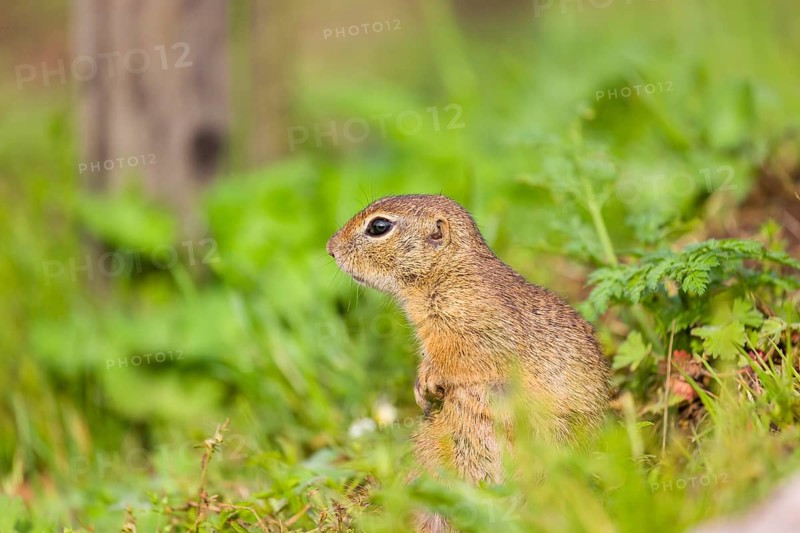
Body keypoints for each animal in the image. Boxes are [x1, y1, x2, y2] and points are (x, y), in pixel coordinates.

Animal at [327, 194, 609, 530]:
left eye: (379, 226)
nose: (330, 247)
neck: (447, 270)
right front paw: (422, 390)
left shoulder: (474, 325)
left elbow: (456, 359)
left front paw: (426, 385)